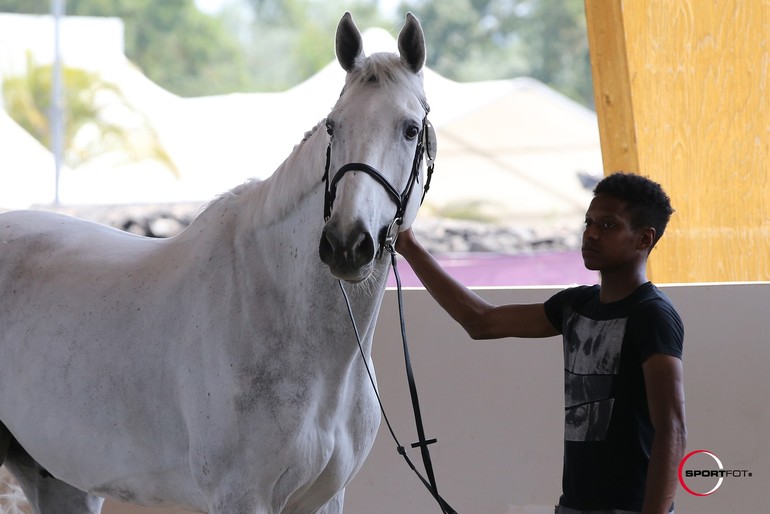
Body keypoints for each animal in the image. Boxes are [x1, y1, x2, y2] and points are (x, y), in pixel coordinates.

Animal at [0, 12, 432, 512]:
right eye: (332, 126)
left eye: (410, 129)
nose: (346, 243)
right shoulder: (240, 497)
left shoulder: (325, 498)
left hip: (59, 479)